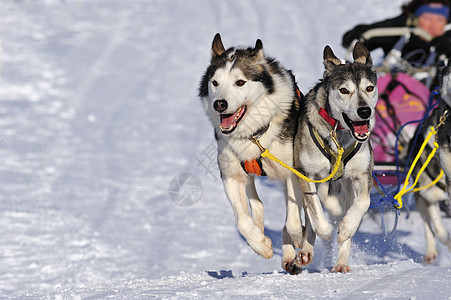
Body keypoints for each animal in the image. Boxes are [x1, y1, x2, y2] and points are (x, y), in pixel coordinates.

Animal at [201, 33, 308, 274]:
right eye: (215, 83)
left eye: (240, 82)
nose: (219, 104)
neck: (253, 135)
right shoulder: (231, 176)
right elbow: (242, 221)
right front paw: (261, 245)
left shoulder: (293, 174)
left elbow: (294, 222)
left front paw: (298, 239)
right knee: (256, 203)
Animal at [294, 43, 380, 274]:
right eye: (344, 90)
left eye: (369, 88)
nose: (365, 111)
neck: (339, 134)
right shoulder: (307, 174)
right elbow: (317, 215)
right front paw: (325, 231)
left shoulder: (362, 174)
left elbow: (364, 202)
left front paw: (347, 228)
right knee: (313, 215)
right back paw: (307, 251)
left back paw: (341, 262)